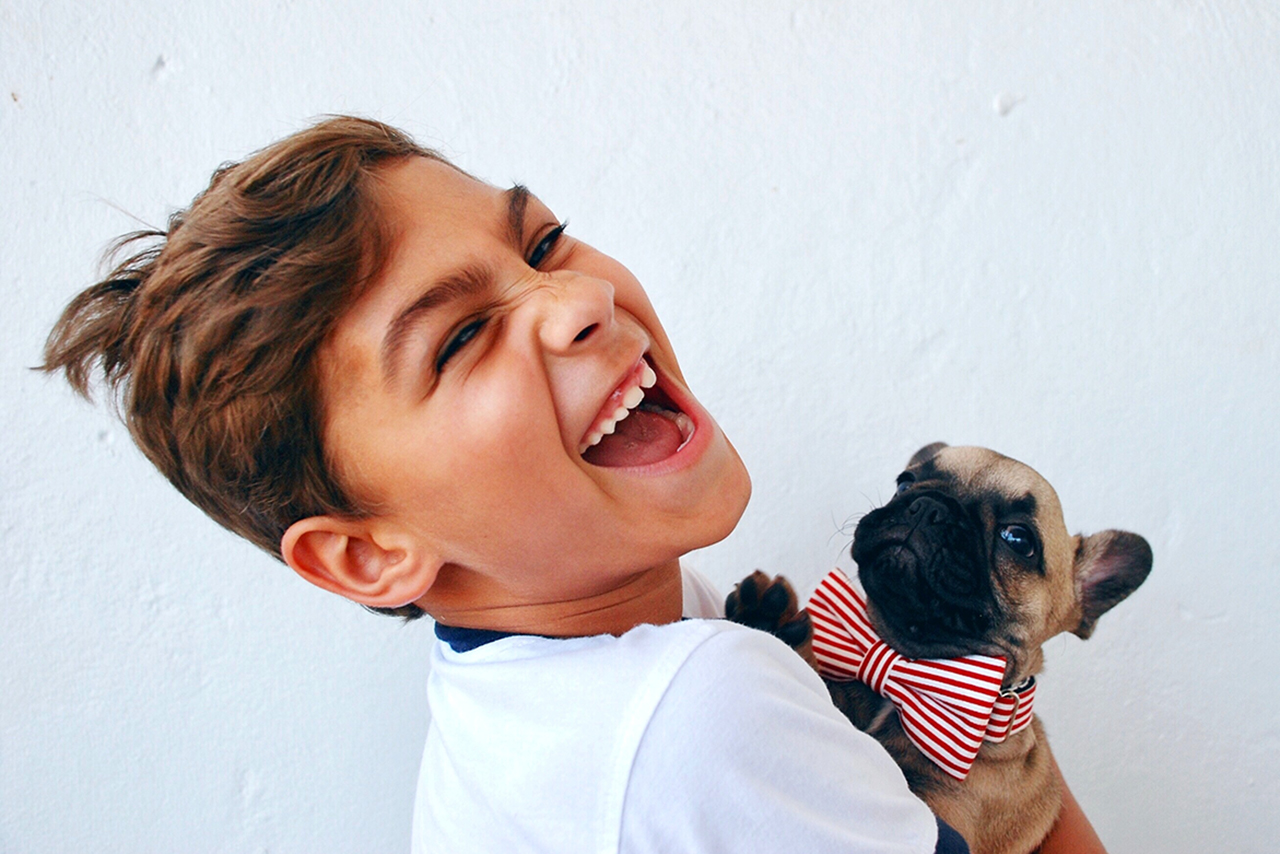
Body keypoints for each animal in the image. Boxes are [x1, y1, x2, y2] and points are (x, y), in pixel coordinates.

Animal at [727, 445, 1157, 854]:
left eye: (1019, 540)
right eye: (904, 482)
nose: (928, 504)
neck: (906, 670)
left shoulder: (940, 809)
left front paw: (770, 621)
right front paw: (766, 620)